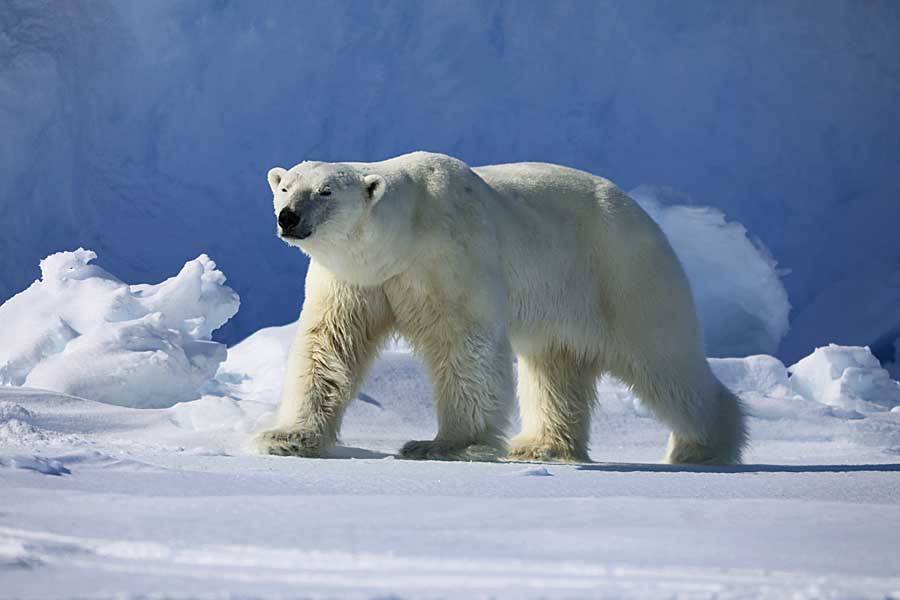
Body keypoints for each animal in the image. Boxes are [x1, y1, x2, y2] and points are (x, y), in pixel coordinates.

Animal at [256, 150, 748, 464]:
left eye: (326, 192)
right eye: (286, 186)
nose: (288, 217)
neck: (402, 241)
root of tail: (643, 214)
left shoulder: (451, 258)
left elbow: (463, 346)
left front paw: (445, 445)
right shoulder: (355, 281)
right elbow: (327, 347)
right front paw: (285, 438)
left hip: (623, 276)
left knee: (664, 362)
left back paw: (702, 446)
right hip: (565, 303)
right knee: (555, 368)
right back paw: (541, 446)